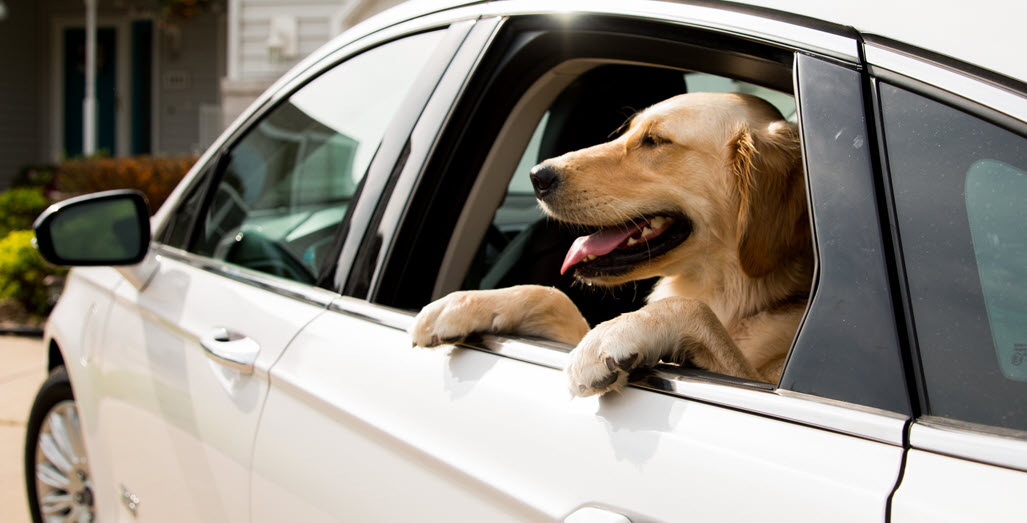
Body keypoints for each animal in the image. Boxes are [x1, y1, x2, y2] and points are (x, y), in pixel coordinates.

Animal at [406, 92, 809, 394]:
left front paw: (615, 333)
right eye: (626, 132)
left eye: (654, 141)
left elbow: (691, 309)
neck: (734, 294)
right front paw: (463, 304)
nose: (537, 176)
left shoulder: (755, 378)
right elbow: (553, 296)